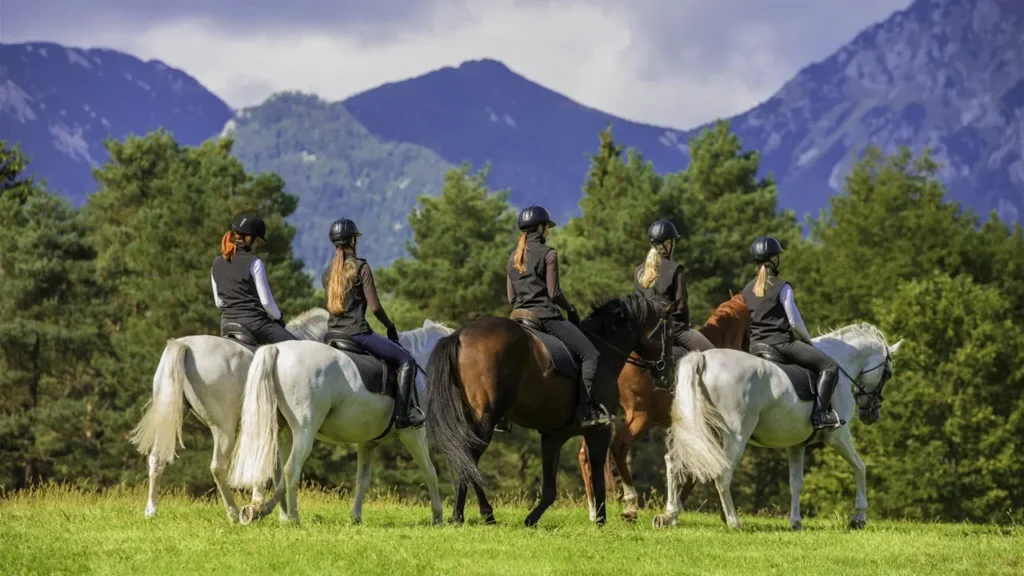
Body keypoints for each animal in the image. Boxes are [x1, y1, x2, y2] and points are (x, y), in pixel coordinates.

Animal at [129, 308, 326, 522]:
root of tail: (184, 345)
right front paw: (269, 510)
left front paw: (267, 509)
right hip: (224, 428)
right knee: (218, 467)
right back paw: (233, 512)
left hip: (170, 417)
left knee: (156, 460)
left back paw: (151, 511)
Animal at [228, 320, 456, 526]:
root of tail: (277, 349)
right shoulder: (413, 433)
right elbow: (430, 472)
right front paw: (438, 516)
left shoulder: (367, 443)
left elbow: (362, 480)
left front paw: (356, 517)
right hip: (304, 430)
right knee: (291, 469)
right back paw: (293, 518)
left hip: (283, 432)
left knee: (279, 473)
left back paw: (273, 513)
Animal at [426, 294, 672, 527]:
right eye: (669, 332)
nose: (665, 375)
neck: (604, 350)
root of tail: (460, 335)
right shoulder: (598, 431)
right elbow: (598, 479)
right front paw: (601, 521)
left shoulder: (554, 436)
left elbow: (549, 490)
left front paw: (531, 519)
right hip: (485, 419)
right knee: (469, 458)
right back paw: (477, 514)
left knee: (465, 458)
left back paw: (471, 515)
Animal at [653, 323, 902, 530]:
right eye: (889, 374)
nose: (871, 414)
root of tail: (703, 358)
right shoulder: (838, 436)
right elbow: (860, 467)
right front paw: (859, 518)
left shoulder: (797, 444)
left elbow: (796, 483)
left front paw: (795, 522)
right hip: (735, 436)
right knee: (722, 474)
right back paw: (734, 522)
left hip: (699, 432)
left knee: (673, 462)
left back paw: (669, 516)